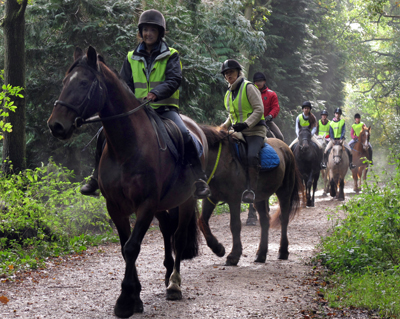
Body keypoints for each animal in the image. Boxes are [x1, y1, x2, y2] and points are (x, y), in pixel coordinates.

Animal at [47, 46, 206, 318]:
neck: (127, 146)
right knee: (167, 231)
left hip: (185, 201)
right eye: (65, 82)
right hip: (163, 205)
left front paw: (124, 301)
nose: (56, 125)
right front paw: (136, 299)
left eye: (83, 83)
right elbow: (125, 247)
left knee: (178, 237)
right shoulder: (115, 206)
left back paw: (174, 284)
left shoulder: (145, 204)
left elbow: (132, 247)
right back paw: (166, 275)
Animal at [197, 126, 304, 266]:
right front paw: (218, 249)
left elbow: (235, 225)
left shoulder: (234, 199)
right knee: (265, 221)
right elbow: (202, 221)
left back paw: (283, 251)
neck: (220, 161)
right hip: (260, 197)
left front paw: (233, 256)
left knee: (283, 219)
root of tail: (286, 148)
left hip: (285, 192)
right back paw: (261, 254)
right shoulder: (211, 198)